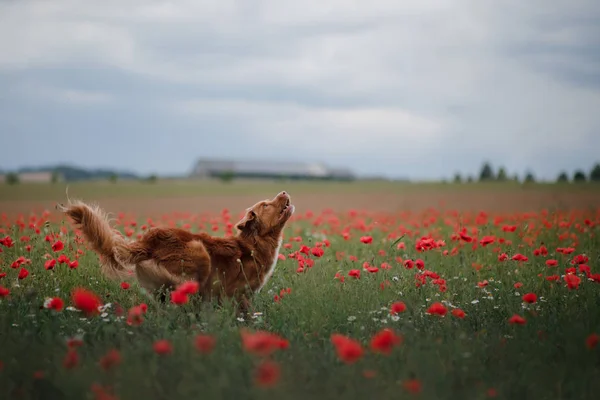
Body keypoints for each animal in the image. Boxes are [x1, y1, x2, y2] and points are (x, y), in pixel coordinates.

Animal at [57, 191, 296, 312]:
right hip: (200, 252)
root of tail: (148, 241)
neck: (255, 243)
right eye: (265, 205)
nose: (284, 191)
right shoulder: (238, 294)